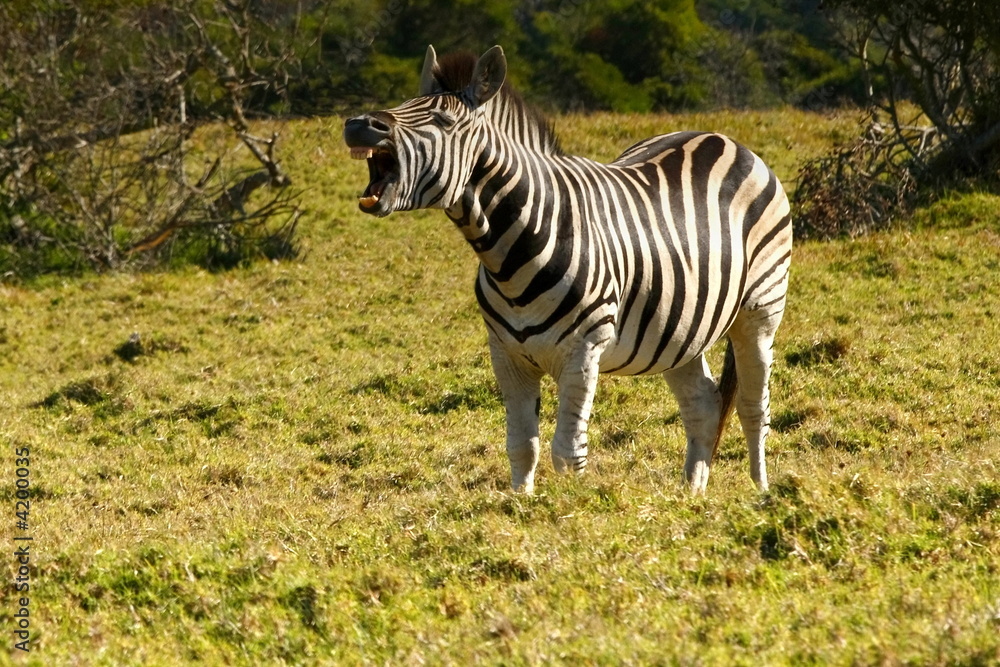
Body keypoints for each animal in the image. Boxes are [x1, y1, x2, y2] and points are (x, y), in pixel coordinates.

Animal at [348, 45, 792, 496]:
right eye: (405, 103)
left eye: (443, 120)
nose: (358, 123)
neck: (509, 252)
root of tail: (723, 138)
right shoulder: (506, 355)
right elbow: (521, 446)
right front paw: (520, 503)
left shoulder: (583, 351)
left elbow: (567, 452)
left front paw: (569, 509)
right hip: (681, 327)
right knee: (703, 403)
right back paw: (691, 496)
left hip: (760, 309)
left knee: (753, 406)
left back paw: (761, 491)